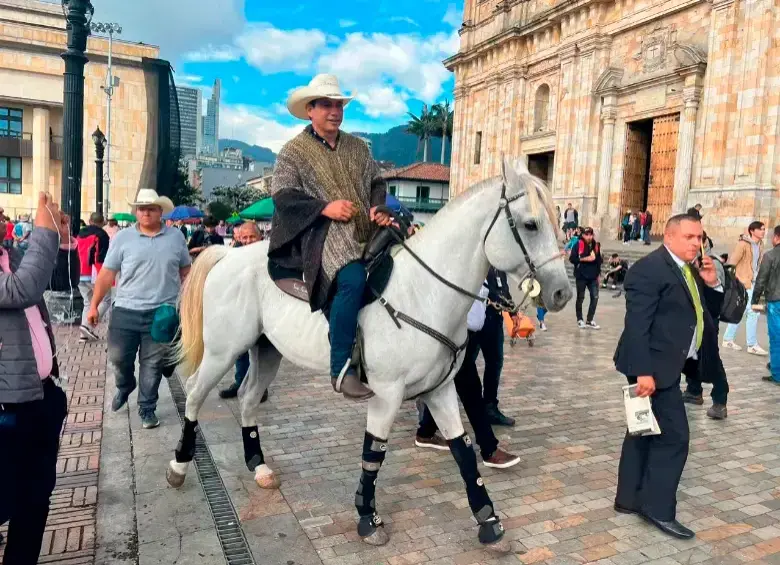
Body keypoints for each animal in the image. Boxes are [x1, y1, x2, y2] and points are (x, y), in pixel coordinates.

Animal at [168, 158, 576, 548]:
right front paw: (368, 518)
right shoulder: (386, 394)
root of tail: (227, 255)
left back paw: (259, 467)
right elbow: (373, 455)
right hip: (223, 351)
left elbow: (463, 452)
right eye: (530, 225)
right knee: (194, 393)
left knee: (250, 398)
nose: (561, 293)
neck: (423, 292)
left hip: (267, 350)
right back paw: (180, 465)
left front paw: (488, 521)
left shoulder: (440, 390)